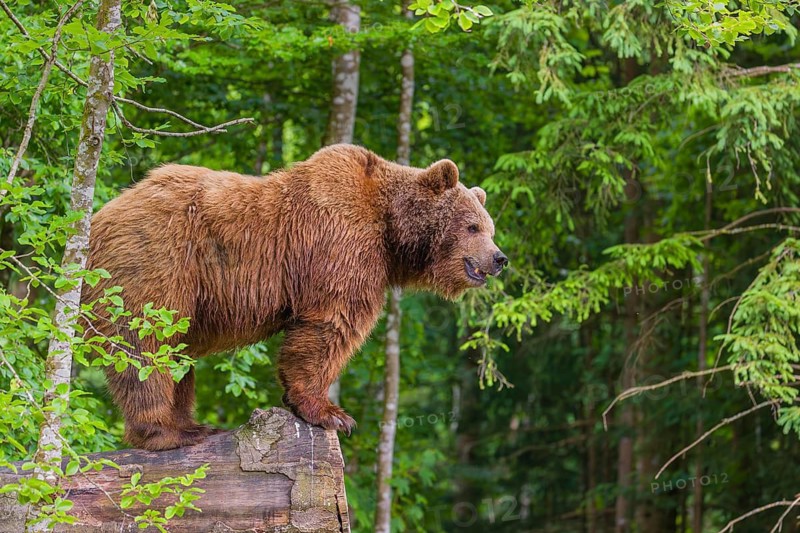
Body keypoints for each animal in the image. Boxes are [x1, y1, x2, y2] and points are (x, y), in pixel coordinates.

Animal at [82, 144, 507, 451]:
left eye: (490, 227)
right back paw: (166, 432)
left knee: (174, 350)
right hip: (157, 260)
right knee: (145, 341)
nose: (499, 258)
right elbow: (331, 324)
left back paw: (190, 423)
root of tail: (99, 219)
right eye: (472, 226)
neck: (391, 233)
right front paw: (333, 414)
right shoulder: (340, 243)